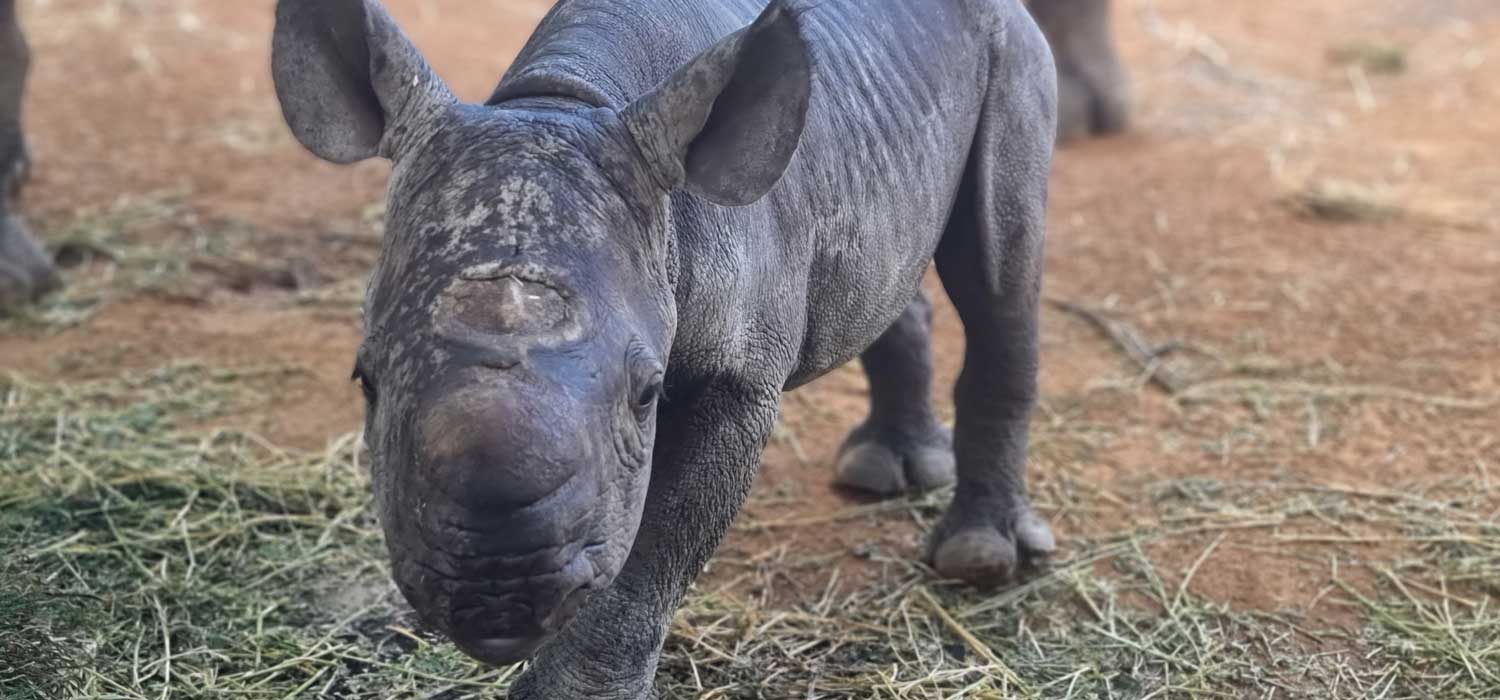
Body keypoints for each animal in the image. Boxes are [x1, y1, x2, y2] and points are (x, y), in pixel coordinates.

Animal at [276, 0, 1062, 695]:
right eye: (365, 379)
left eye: (646, 393)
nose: (496, 597)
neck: (569, 102)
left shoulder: (737, 379)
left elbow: (655, 549)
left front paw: (573, 693)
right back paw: (882, 471)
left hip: (1011, 50)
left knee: (996, 270)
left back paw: (978, 557)